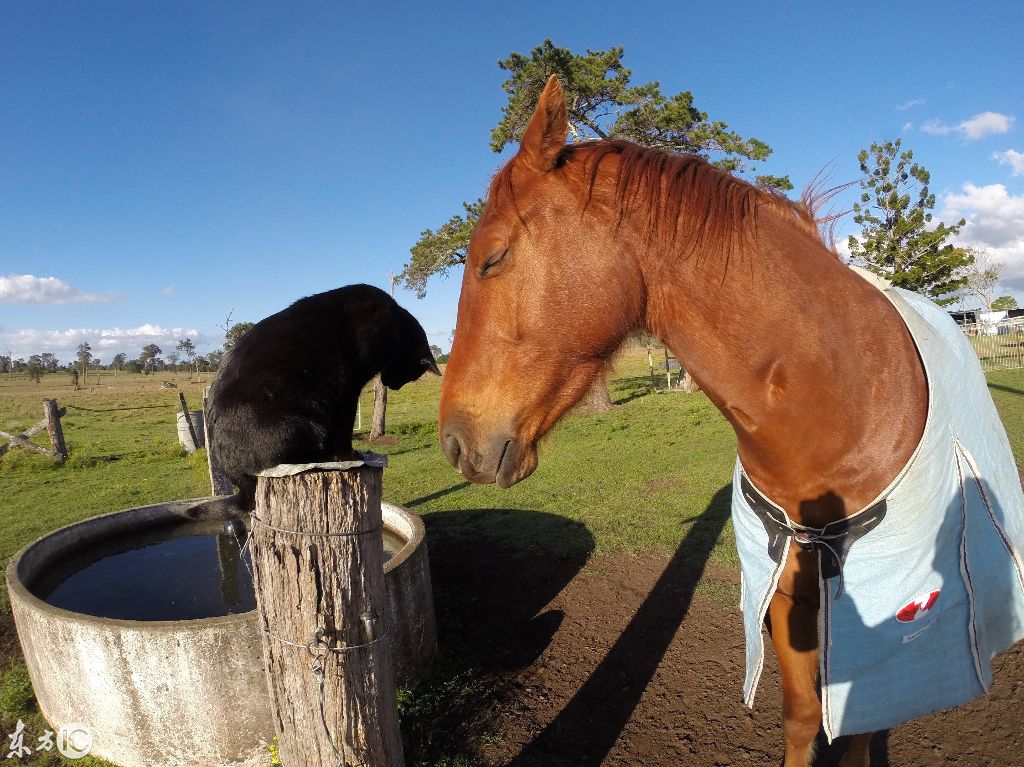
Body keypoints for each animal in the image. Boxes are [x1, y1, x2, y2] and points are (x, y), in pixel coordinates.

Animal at [196, 282, 440, 514]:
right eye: (411, 375)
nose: (393, 385)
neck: (394, 324)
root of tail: (240, 482)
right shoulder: (348, 390)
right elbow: (344, 428)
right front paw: (350, 455)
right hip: (302, 423)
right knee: (294, 460)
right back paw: (328, 457)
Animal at [436, 74, 1024, 761]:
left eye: (493, 258)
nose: (455, 442)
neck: (840, 410)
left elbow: (855, 729)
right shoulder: (789, 598)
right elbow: (804, 717)